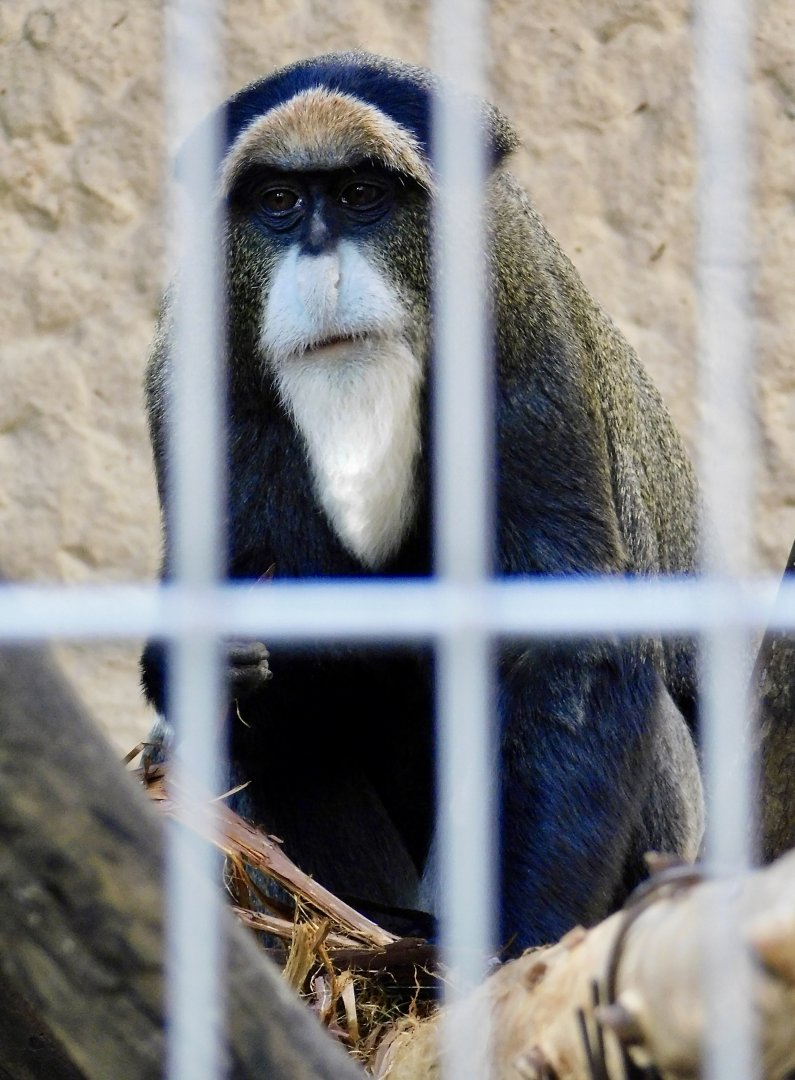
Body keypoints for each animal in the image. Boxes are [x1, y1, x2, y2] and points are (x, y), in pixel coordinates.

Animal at [141, 52, 705, 955]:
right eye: (279, 202)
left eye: (361, 195)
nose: (321, 267)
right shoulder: (191, 378)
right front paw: (211, 662)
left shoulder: (523, 341)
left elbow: (568, 650)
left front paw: (517, 944)